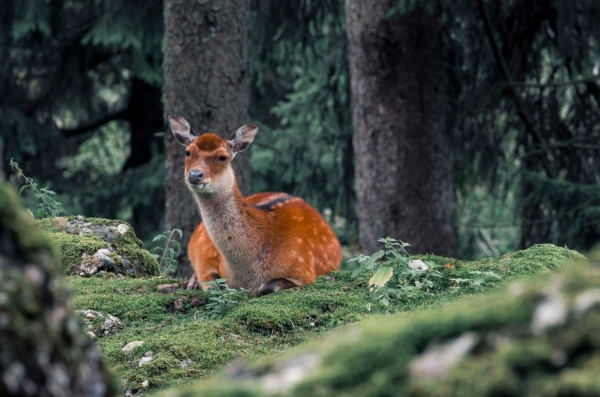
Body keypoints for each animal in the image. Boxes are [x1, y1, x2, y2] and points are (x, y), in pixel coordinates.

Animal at [166, 113, 342, 296]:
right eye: (188, 152)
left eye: (223, 157)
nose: (195, 175)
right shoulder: (206, 261)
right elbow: (213, 283)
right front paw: (195, 282)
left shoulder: (304, 270)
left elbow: (266, 286)